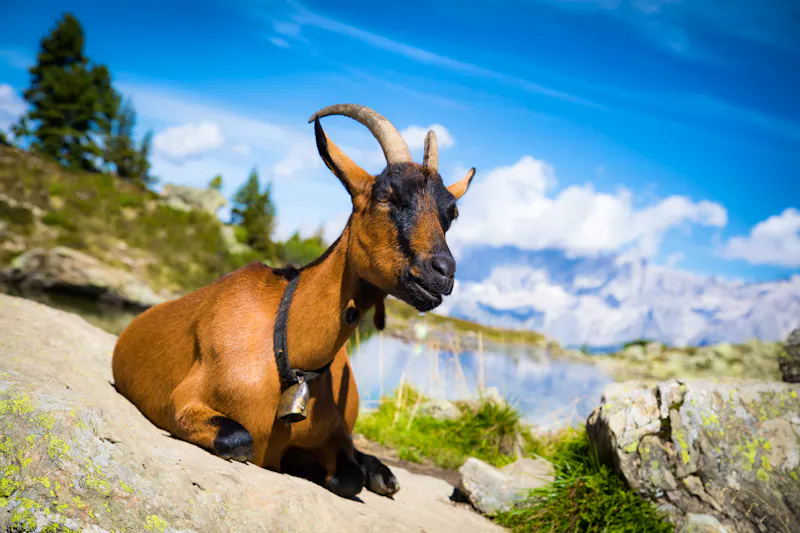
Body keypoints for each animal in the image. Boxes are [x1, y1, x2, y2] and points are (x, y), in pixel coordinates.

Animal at [111, 104, 476, 499]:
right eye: (386, 196)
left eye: (451, 215)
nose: (443, 272)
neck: (286, 346)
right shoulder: (183, 405)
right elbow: (241, 440)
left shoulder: (334, 438)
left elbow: (348, 474)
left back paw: (381, 473)